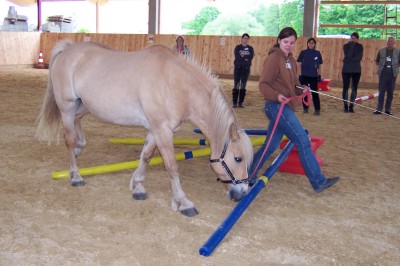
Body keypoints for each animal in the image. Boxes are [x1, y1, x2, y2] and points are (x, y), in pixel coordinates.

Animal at [36, 40, 253, 217]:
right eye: (237, 158)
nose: (242, 193)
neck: (174, 83)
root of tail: (67, 50)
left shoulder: (157, 130)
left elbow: (146, 156)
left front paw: (138, 186)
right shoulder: (162, 130)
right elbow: (171, 166)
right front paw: (183, 202)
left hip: (83, 106)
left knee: (77, 124)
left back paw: (80, 148)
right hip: (67, 107)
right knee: (69, 139)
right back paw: (75, 175)